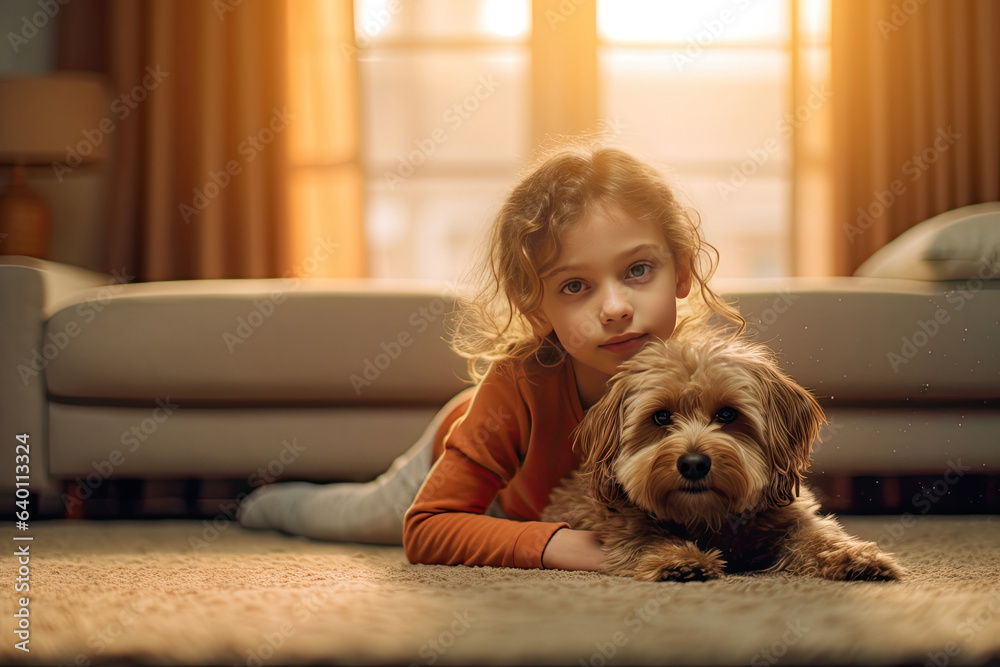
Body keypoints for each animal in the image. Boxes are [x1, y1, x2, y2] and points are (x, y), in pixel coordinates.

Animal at [544, 332, 904, 580]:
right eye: (661, 417)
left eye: (728, 414)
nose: (693, 464)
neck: (708, 516)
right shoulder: (625, 525)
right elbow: (647, 539)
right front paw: (679, 559)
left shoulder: (791, 519)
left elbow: (818, 535)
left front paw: (855, 557)